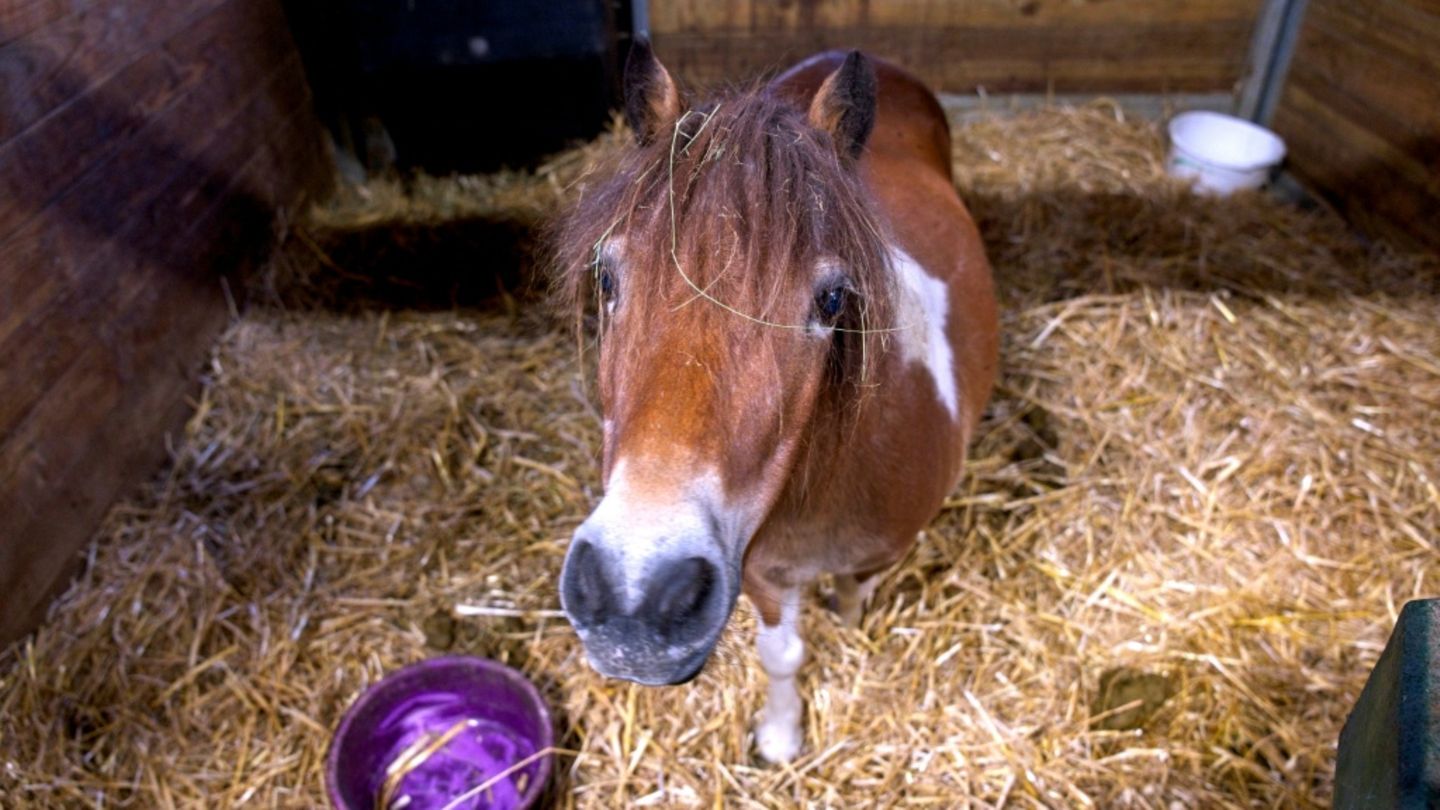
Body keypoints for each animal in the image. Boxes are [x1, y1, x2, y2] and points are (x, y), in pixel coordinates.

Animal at [551, 40, 998, 763]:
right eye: (607, 278)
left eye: (832, 298)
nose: (636, 593)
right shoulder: (760, 572)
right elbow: (782, 654)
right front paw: (782, 737)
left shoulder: (877, 558)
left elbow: (852, 600)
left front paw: (850, 638)